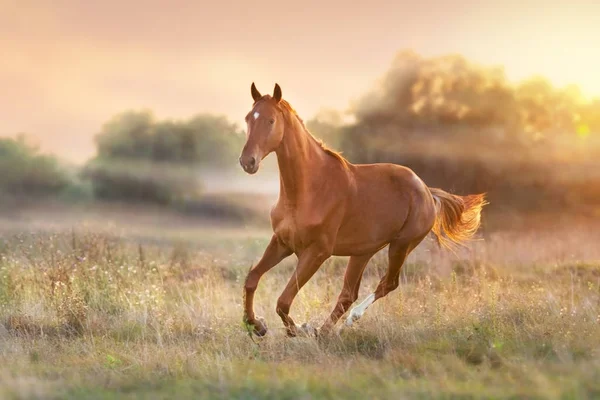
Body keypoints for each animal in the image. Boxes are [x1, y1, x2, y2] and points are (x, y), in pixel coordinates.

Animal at [237, 82, 486, 338]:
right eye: (248, 118)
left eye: (271, 120)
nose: (248, 161)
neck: (308, 190)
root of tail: (427, 191)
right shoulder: (282, 242)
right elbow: (252, 279)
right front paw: (257, 325)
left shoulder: (317, 252)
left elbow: (283, 301)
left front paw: (299, 329)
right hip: (362, 253)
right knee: (348, 294)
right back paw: (324, 331)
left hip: (401, 246)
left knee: (387, 284)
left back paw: (344, 322)